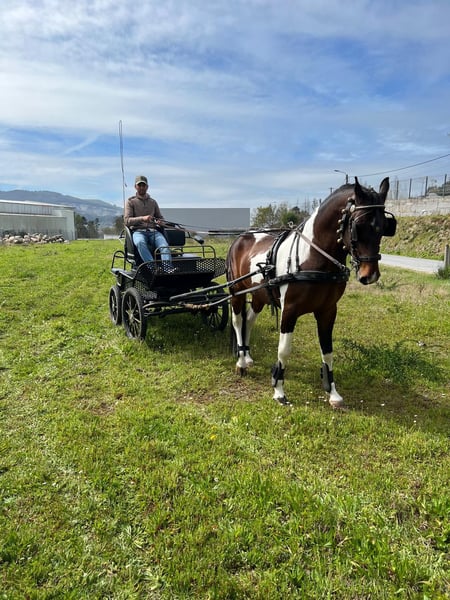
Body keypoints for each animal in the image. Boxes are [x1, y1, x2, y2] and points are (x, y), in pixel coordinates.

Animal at [225, 177, 396, 408]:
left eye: (384, 227)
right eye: (358, 226)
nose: (370, 275)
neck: (313, 257)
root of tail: (241, 237)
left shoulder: (328, 311)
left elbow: (328, 351)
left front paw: (332, 393)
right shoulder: (289, 311)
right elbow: (284, 350)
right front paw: (278, 390)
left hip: (260, 295)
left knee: (249, 321)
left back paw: (247, 355)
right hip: (236, 292)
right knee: (237, 322)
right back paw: (241, 362)